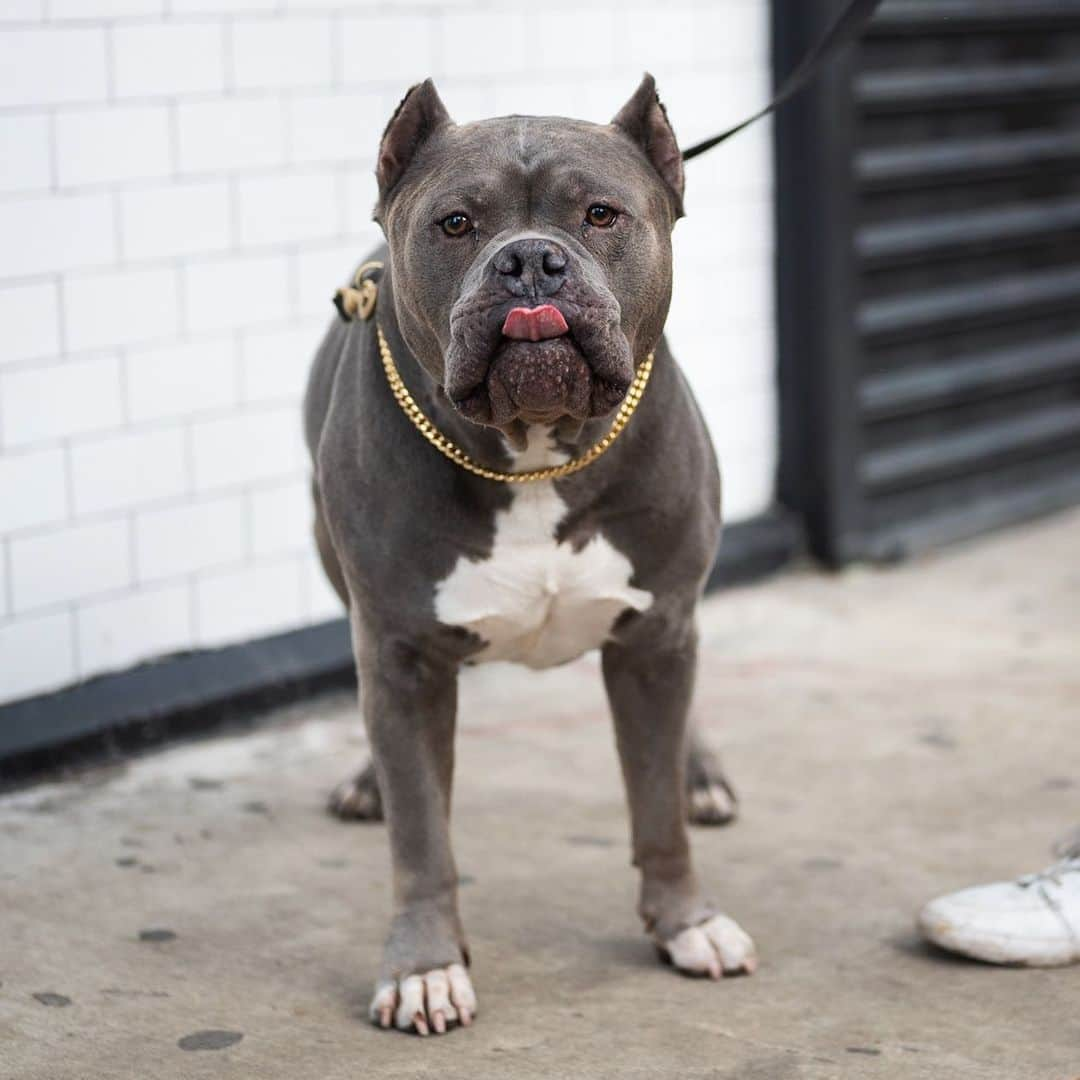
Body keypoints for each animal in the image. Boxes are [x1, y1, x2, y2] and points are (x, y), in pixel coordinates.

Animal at [300, 76, 756, 1036]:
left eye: (600, 214)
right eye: (456, 224)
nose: (532, 263)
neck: (538, 451)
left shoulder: (655, 634)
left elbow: (656, 806)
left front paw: (687, 922)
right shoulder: (402, 655)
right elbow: (421, 834)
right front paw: (424, 967)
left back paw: (701, 773)